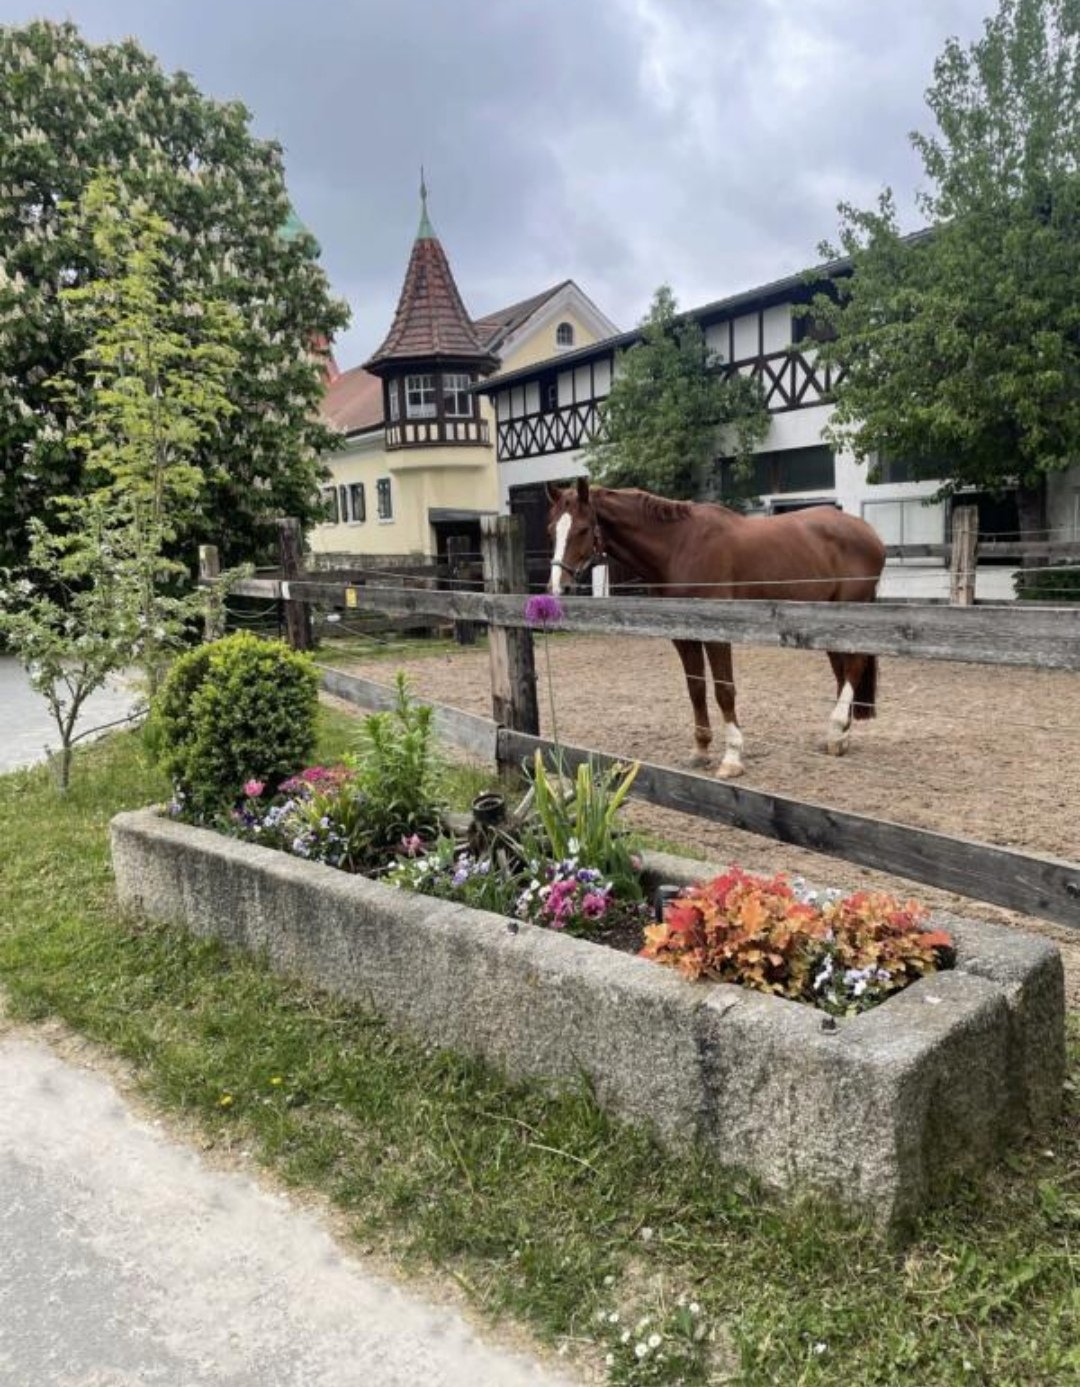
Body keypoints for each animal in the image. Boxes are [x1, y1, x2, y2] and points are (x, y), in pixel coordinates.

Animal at [545, 479, 886, 778]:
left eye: (582, 529)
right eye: (551, 530)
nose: (558, 588)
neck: (679, 545)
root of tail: (868, 532)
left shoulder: (717, 634)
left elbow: (724, 690)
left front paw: (732, 758)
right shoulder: (684, 636)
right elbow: (696, 688)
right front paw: (700, 751)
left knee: (854, 666)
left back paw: (836, 730)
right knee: (842, 670)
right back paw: (840, 738)